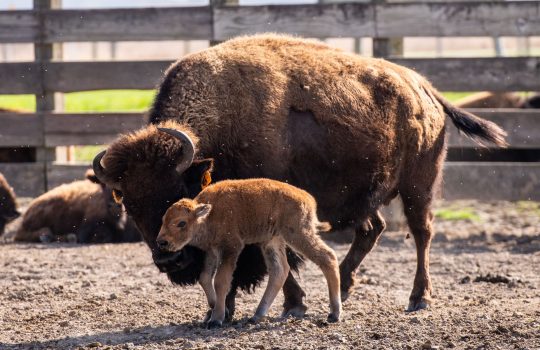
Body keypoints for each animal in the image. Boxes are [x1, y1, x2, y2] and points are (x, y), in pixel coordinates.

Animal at [157, 179, 342, 326]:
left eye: (181, 223)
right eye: (163, 220)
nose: (161, 242)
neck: (209, 214)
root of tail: (308, 198)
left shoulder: (230, 249)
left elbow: (221, 281)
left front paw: (216, 319)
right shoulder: (212, 251)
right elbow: (204, 277)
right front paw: (216, 306)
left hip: (297, 234)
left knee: (328, 257)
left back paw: (334, 314)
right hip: (272, 241)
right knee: (279, 270)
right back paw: (257, 315)